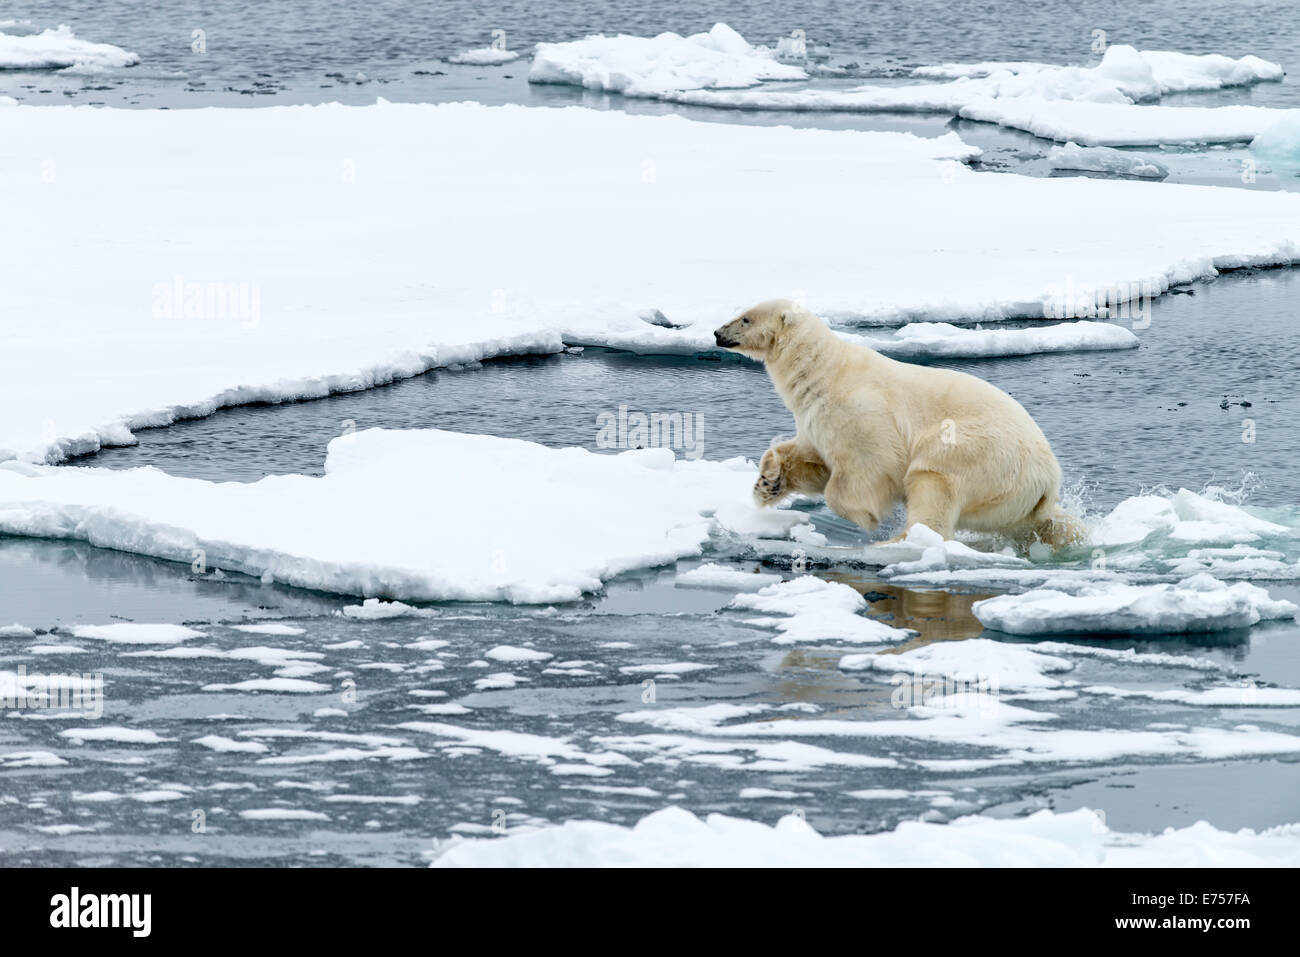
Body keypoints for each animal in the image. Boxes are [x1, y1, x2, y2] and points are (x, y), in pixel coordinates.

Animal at [717, 299, 1081, 553]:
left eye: (746, 317)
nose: (718, 333)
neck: (823, 371)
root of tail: (1048, 478)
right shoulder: (814, 416)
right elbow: (812, 459)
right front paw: (767, 483)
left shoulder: (860, 410)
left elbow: (866, 465)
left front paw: (864, 515)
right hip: (1014, 502)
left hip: (983, 452)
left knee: (934, 479)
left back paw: (900, 540)